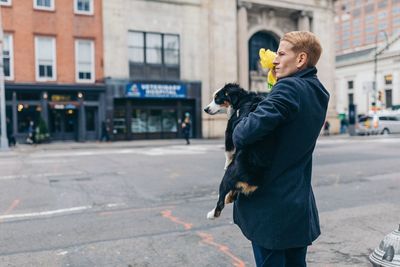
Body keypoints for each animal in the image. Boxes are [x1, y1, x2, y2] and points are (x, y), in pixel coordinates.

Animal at [205, 83, 274, 220]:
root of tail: (251, 179)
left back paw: (212, 213)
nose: (205, 109)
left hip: (227, 177)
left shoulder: (229, 131)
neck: (241, 99)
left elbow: (228, 152)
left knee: (220, 203)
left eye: (217, 98)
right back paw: (229, 198)